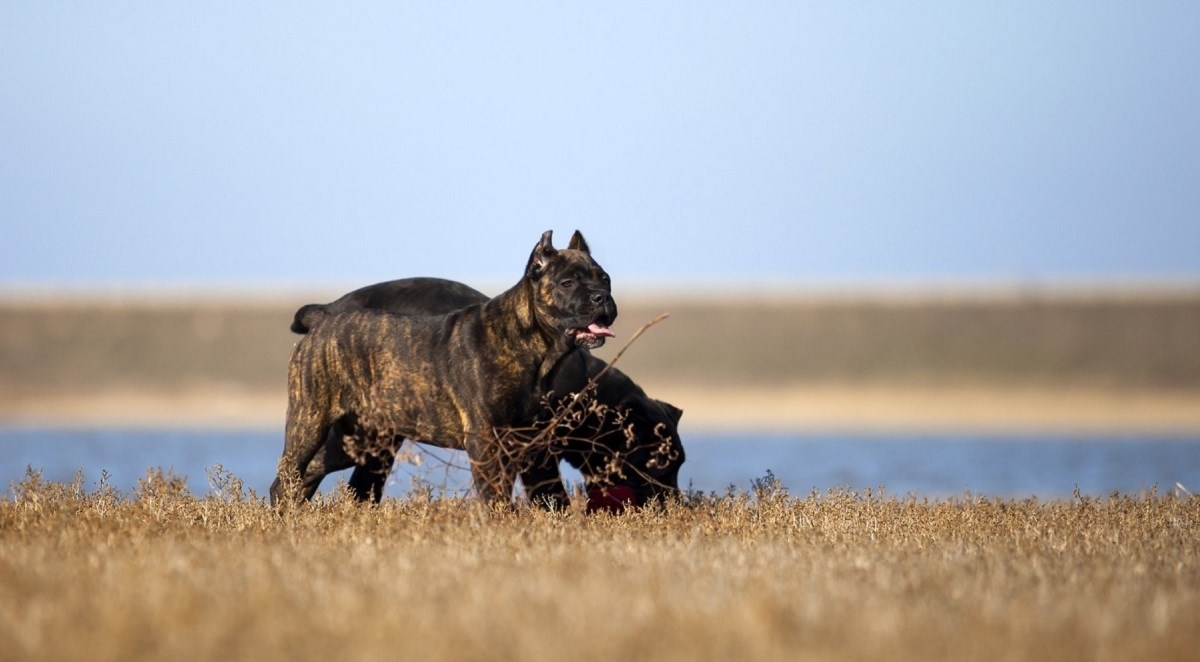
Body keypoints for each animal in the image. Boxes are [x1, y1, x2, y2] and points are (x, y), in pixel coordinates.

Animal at [267, 231, 614, 506]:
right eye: (568, 283)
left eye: (605, 279)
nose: (602, 297)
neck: (530, 342)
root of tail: (323, 318)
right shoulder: (486, 444)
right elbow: (496, 498)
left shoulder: (527, 443)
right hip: (310, 421)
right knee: (286, 476)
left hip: (356, 440)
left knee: (307, 474)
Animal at [288, 277, 686, 503]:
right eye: (659, 463)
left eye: (679, 464)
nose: (674, 503)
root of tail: (326, 311)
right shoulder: (537, 455)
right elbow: (550, 495)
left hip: (371, 442)